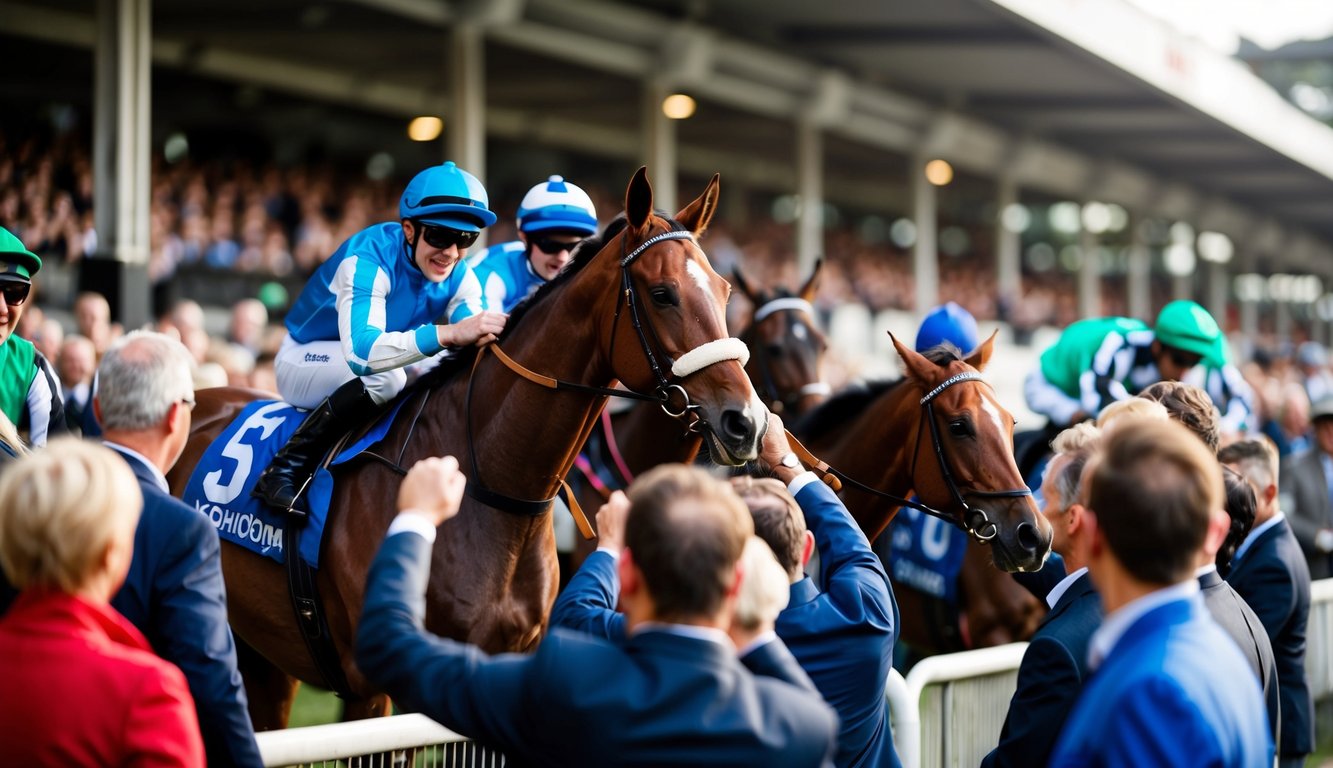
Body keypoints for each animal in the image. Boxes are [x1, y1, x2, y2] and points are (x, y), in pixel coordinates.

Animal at [166, 168, 767, 725]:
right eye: (662, 294)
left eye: (724, 291)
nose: (747, 421)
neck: (491, 489)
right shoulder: (378, 688)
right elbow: (368, 345)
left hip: (263, 655)